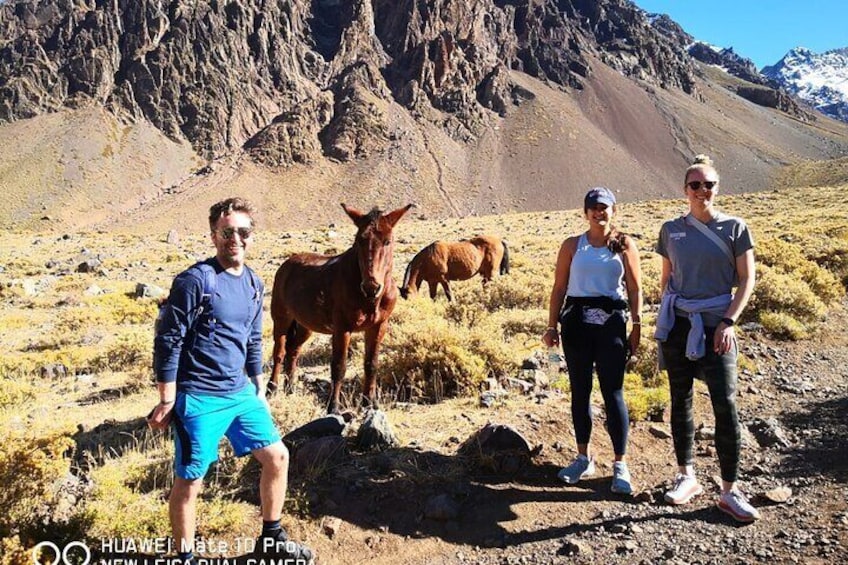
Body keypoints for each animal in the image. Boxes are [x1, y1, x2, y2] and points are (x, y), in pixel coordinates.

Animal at [270, 200, 412, 412]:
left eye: (387, 241)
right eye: (359, 240)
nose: (371, 287)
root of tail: (286, 264)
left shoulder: (378, 326)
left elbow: (371, 364)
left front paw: (370, 403)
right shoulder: (342, 329)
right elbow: (339, 366)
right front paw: (333, 407)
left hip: (305, 326)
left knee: (293, 351)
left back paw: (290, 389)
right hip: (282, 320)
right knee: (279, 353)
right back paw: (271, 390)